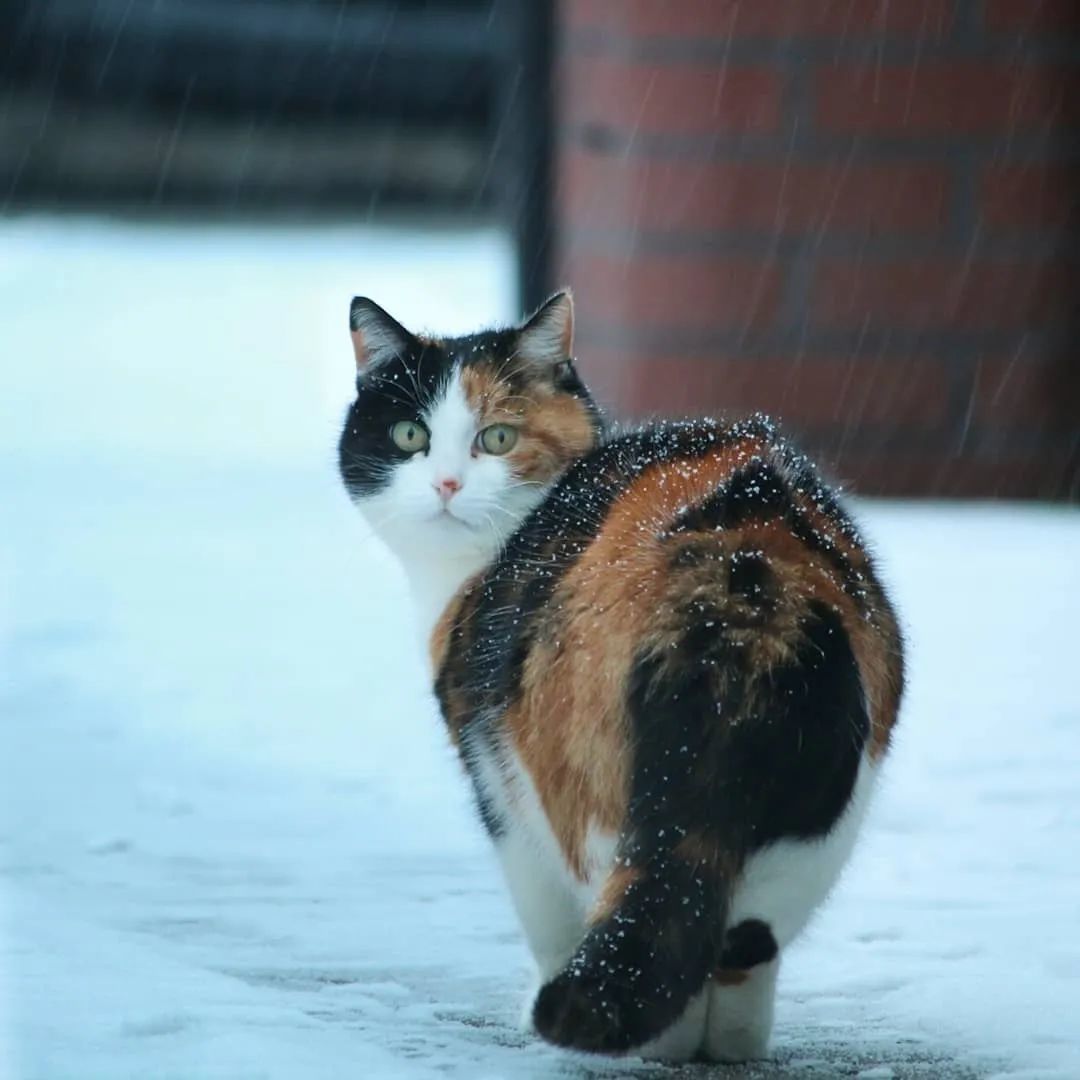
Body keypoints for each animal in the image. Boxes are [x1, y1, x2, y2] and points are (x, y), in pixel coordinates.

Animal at [336, 291, 902, 1058]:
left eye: (499, 438)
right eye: (407, 434)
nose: (446, 485)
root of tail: (743, 582)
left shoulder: (495, 780)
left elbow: (545, 920)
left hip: (581, 791)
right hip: (820, 820)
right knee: (740, 940)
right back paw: (730, 1045)